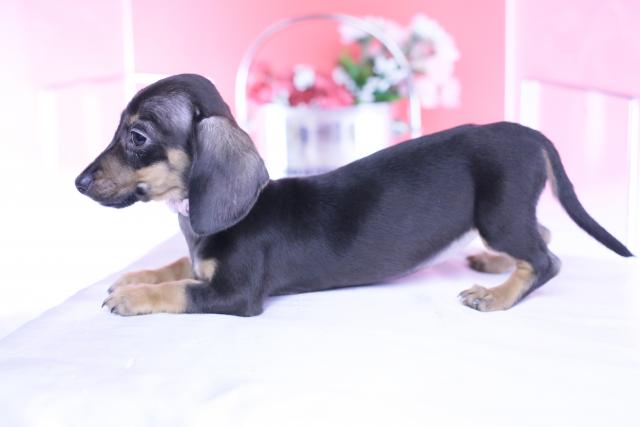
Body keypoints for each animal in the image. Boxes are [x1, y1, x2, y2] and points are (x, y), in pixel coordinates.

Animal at [75, 74, 633, 316]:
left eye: (137, 136)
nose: (77, 183)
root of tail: (530, 134)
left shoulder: (235, 295)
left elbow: (181, 289)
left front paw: (133, 296)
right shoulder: (200, 264)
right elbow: (178, 266)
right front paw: (139, 275)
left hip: (499, 213)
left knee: (545, 259)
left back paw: (497, 294)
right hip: (507, 216)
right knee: (542, 234)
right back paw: (492, 265)